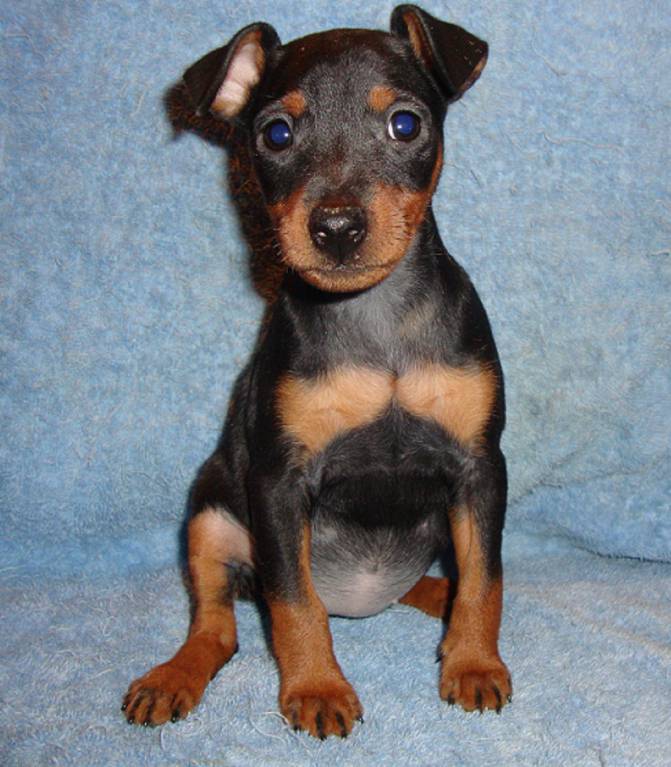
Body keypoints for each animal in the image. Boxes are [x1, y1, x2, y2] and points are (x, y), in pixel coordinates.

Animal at [122, 4, 511, 739]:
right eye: (276, 133)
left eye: (405, 124)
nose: (335, 228)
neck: (375, 320)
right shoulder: (278, 481)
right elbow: (293, 602)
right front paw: (315, 687)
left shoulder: (479, 468)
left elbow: (484, 578)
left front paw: (473, 663)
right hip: (210, 517)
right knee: (219, 625)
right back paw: (173, 676)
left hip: (436, 520)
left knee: (438, 579)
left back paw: (442, 607)